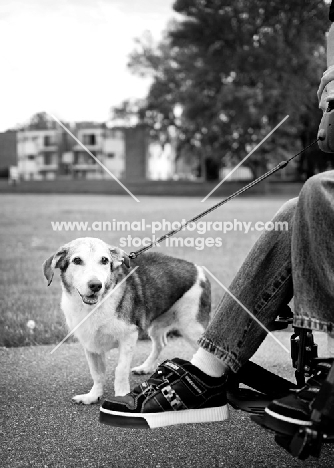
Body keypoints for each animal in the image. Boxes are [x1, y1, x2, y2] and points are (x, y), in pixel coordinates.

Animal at [43, 238, 211, 402]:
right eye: (77, 260)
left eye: (104, 260)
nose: (96, 285)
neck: (94, 307)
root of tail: (199, 269)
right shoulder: (90, 344)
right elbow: (96, 373)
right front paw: (93, 396)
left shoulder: (128, 336)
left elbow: (120, 370)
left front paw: (122, 395)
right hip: (156, 327)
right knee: (160, 344)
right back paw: (146, 367)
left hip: (192, 328)